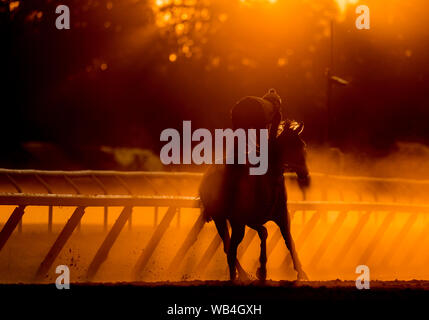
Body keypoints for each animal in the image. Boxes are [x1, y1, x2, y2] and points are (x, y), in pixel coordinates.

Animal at [197, 120, 308, 280]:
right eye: (294, 146)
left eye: (302, 145)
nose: (305, 173)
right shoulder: (250, 218)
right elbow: (280, 237)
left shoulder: (273, 216)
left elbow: (278, 237)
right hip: (225, 220)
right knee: (230, 249)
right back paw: (236, 276)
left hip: (227, 220)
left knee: (229, 247)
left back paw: (243, 274)